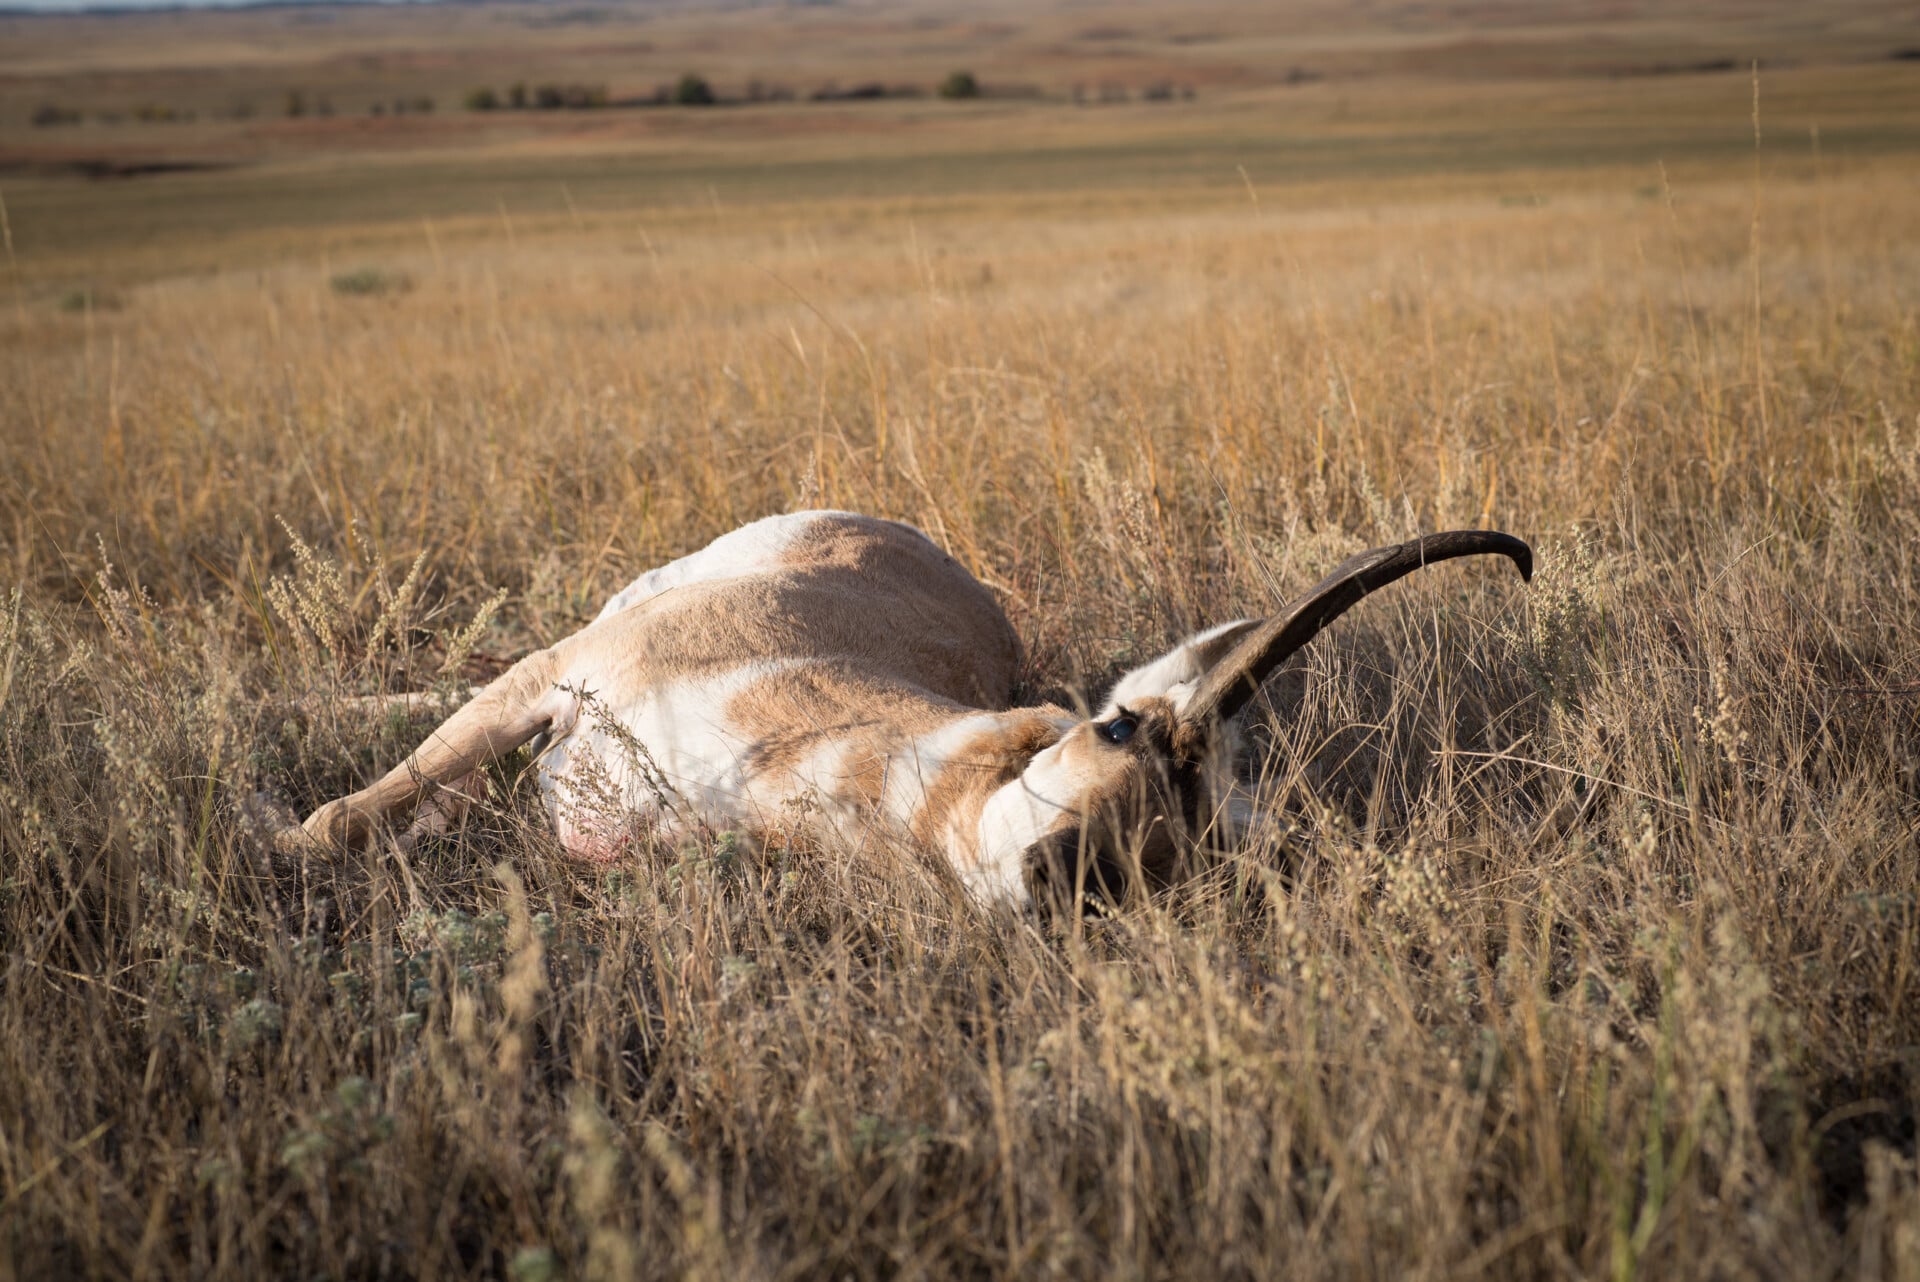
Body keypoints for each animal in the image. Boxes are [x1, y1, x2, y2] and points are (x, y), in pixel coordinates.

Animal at [293, 511, 1530, 908]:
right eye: (1117, 726)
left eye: (1182, 858)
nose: (1061, 877)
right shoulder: (561, 678)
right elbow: (346, 813)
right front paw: (284, 842)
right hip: (602, 622)